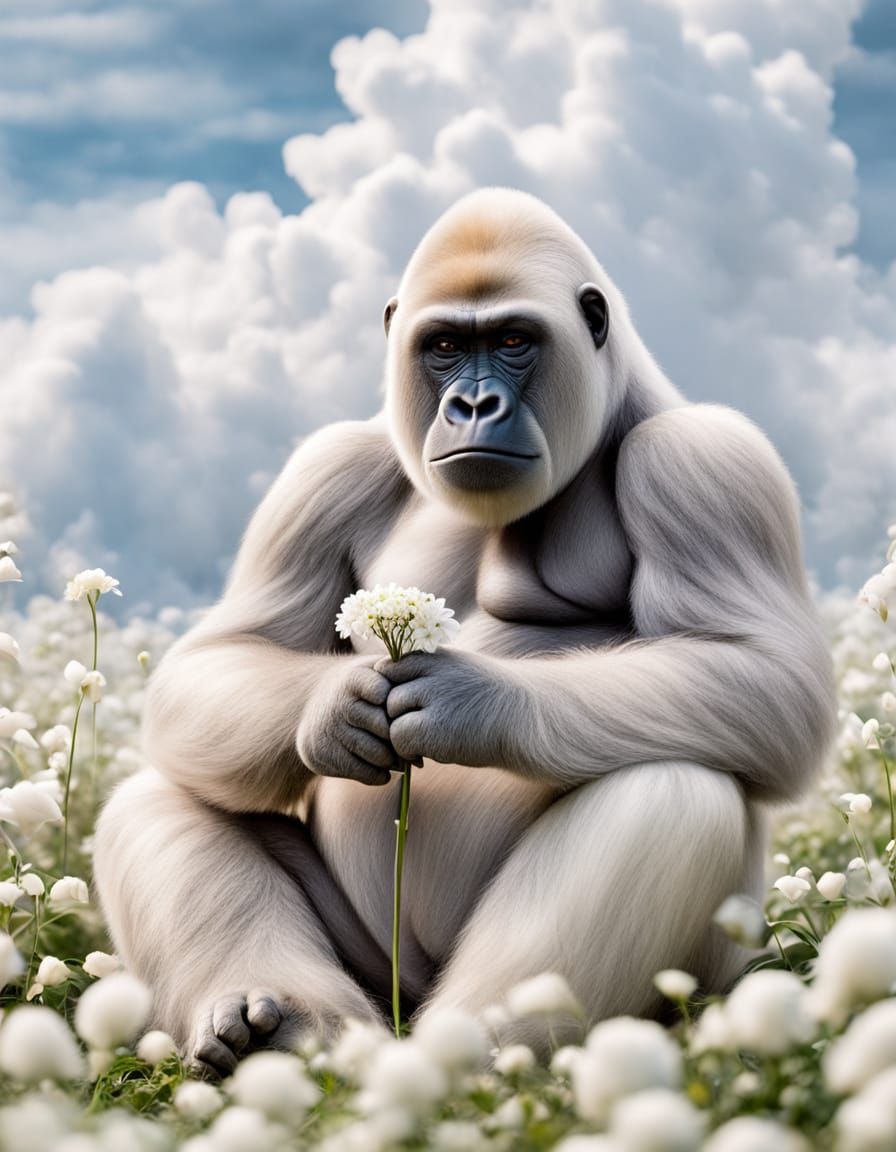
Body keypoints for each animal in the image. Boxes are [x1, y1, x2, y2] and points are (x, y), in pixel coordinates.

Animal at [93, 187, 836, 1076]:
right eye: (445, 346)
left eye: (513, 341)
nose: (473, 406)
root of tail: (407, 1000)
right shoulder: (328, 468)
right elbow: (220, 655)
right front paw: (331, 709)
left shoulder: (704, 459)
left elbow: (768, 678)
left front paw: (475, 704)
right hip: (374, 969)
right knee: (161, 792)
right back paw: (287, 1022)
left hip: (712, 970)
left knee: (674, 791)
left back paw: (463, 1054)